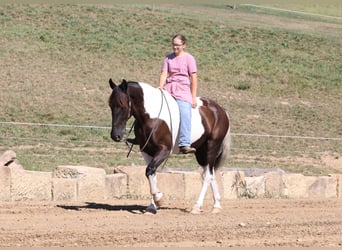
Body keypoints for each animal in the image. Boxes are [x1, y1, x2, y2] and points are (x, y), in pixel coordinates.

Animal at [108, 79, 231, 214]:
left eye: (122, 105)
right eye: (110, 105)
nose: (115, 135)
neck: (151, 116)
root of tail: (220, 110)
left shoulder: (164, 150)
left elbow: (149, 170)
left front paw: (159, 199)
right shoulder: (146, 151)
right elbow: (152, 174)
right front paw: (152, 206)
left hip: (211, 146)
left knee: (208, 176)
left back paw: (197, 206)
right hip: (201, 151)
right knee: (210, 173)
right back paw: (216, 206)